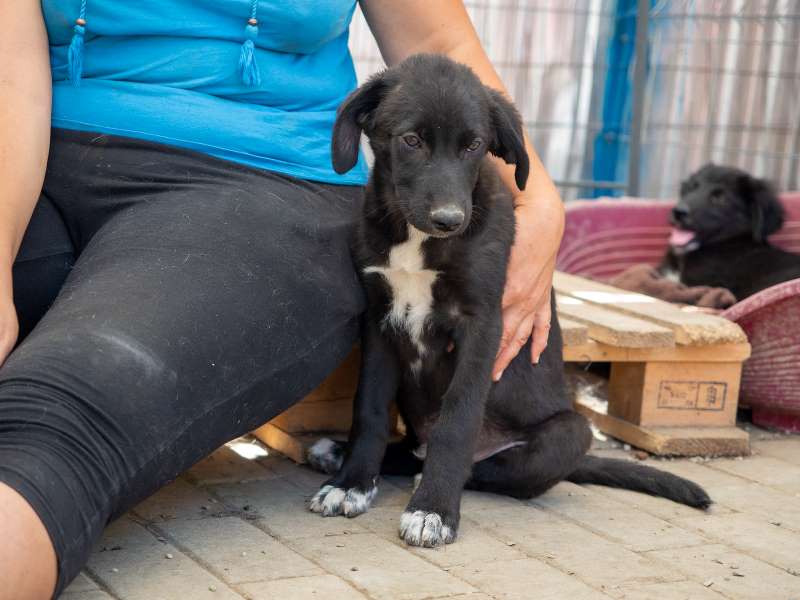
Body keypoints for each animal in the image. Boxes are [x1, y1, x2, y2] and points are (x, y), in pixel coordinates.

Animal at [310, 54, 708, 548]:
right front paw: (351, 484)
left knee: (484, 465)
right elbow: (369, 411)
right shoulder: (380, 322)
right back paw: (340, 453)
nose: (449, 220)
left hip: (571, 432)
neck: (417, 240)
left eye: (474, 145)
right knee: (413, 448)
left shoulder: (482, 325)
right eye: (411, 140)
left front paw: (433, 510)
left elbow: (457, 421)